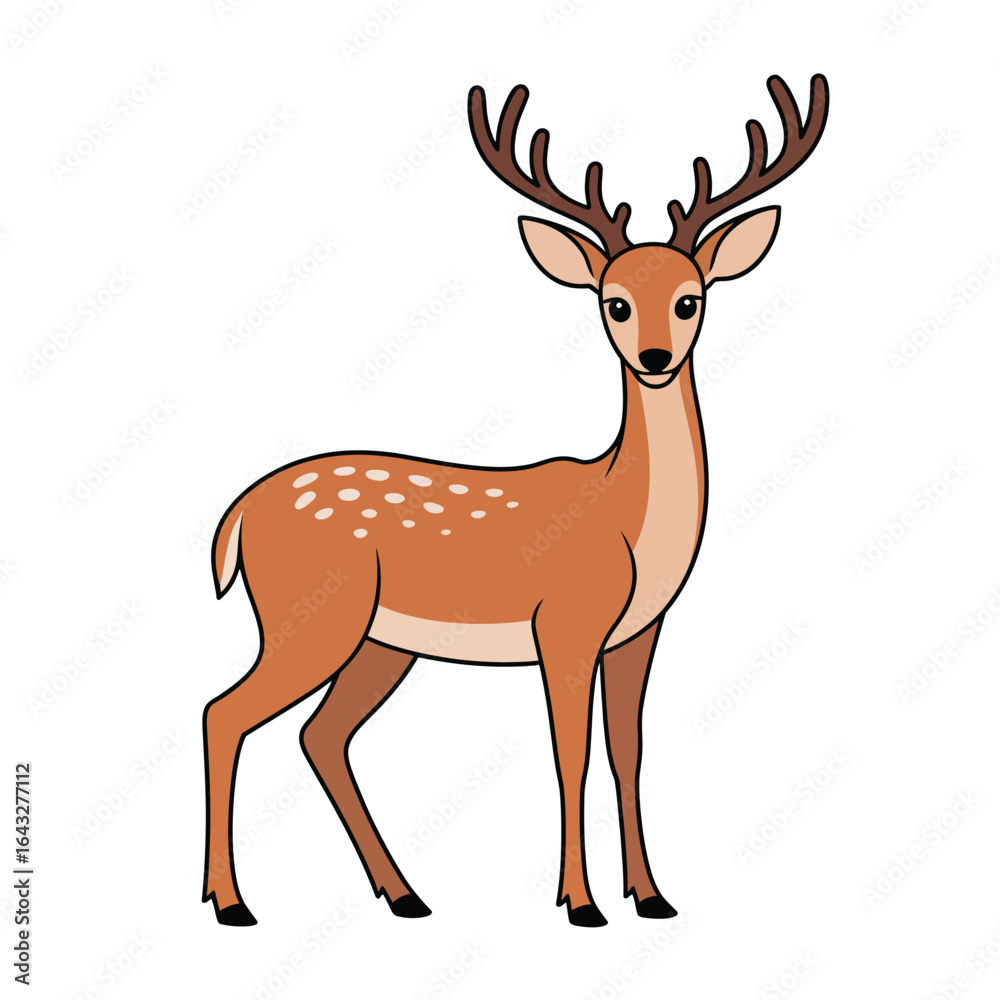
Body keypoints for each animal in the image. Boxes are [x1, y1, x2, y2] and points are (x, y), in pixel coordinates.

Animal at [203, 74, 829, 928]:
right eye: (613, 302)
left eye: (692, 298)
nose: (656, 358)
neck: (627, 521)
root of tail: (236, 517)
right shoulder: (563, 623)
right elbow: (572, 755)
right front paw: (580, 903)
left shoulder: (639, 631)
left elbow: (628, 753)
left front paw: (652, 896)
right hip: (310, 615)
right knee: (225, 713)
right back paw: (232, 903)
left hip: (380, 640)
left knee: (320, 735)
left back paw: (405, 894)